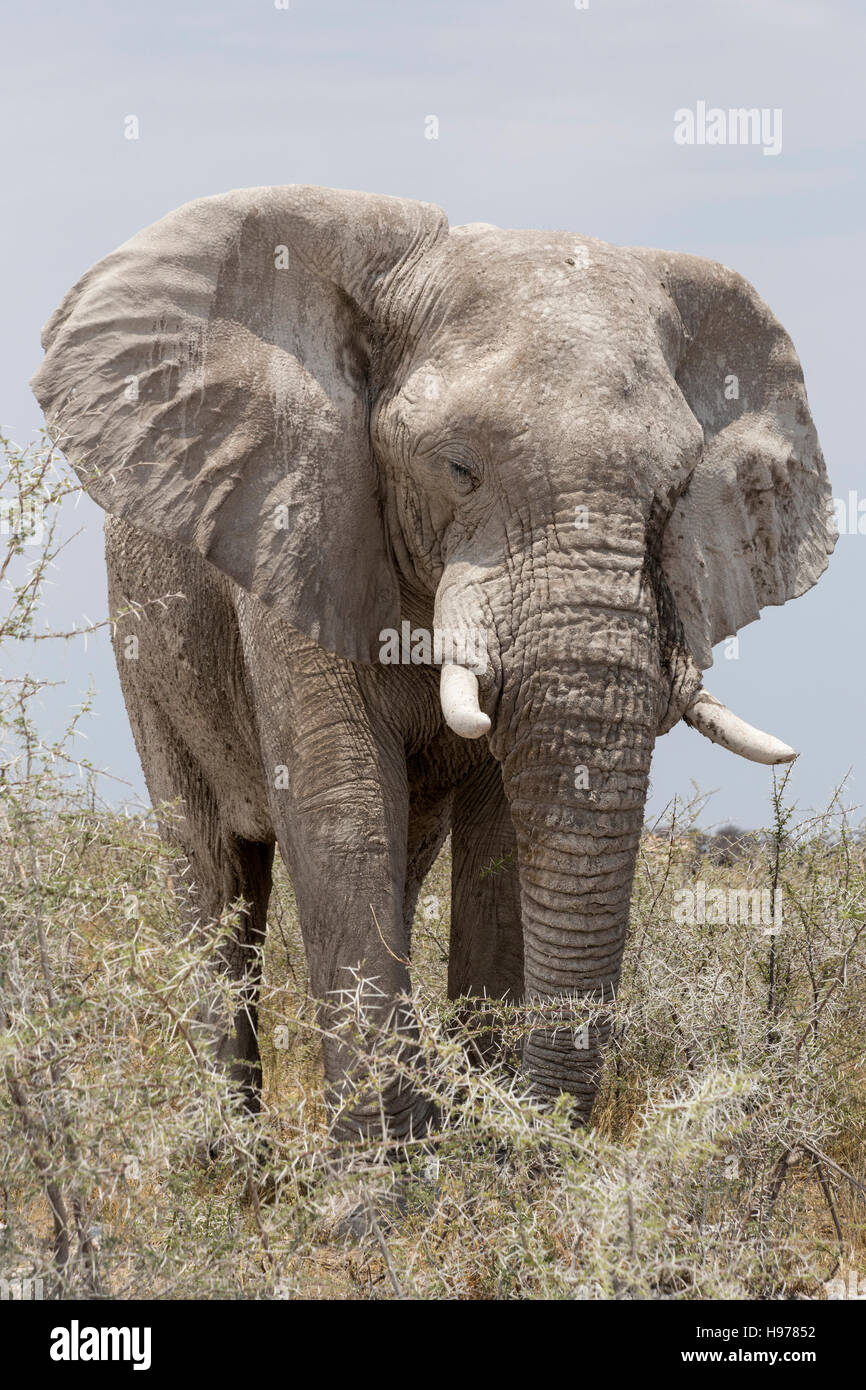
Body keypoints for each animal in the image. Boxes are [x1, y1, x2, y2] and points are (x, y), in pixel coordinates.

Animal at [30, 184, 839, 1139]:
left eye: (675, 493)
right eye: (457, 467)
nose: (532, 1137)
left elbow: (502, 838)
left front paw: (473, 1149)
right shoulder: (295, 524)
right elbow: (342, 808)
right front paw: (384, 1177)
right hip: (147, 642)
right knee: (213, 875)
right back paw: (233, 1158)